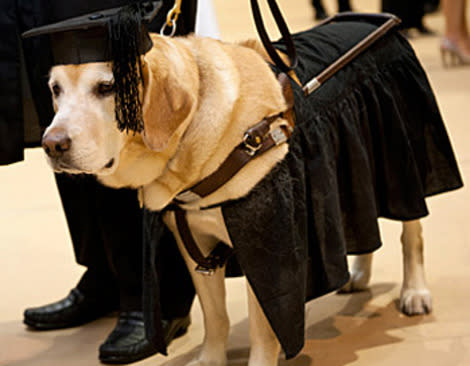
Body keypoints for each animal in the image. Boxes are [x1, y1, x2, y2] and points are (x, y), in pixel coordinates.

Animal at [42, 33, 432, 364]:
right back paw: (359, 272)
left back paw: (415, 292)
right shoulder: (195, 244)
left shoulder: (264, 247)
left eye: (107, 87)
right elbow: (215, 317)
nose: (52, 144)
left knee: (411, 234)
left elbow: (264, 327)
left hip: (400, 155)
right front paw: (211, 359)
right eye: (55, 89)